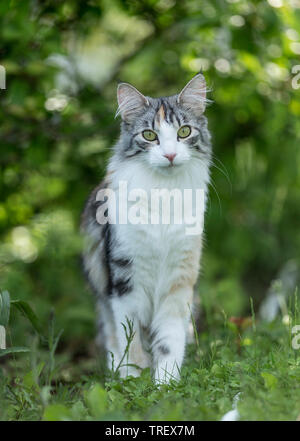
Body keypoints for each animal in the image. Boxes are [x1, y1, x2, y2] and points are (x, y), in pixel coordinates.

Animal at [79, 72, 211, 382]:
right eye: (149, 135)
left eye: (184, 132)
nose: (170, 155)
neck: (165, 192)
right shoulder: (125, 279)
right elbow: (131, 339)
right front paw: (135, 379)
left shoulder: (179, 280)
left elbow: (169, 342)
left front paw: (165, 382)